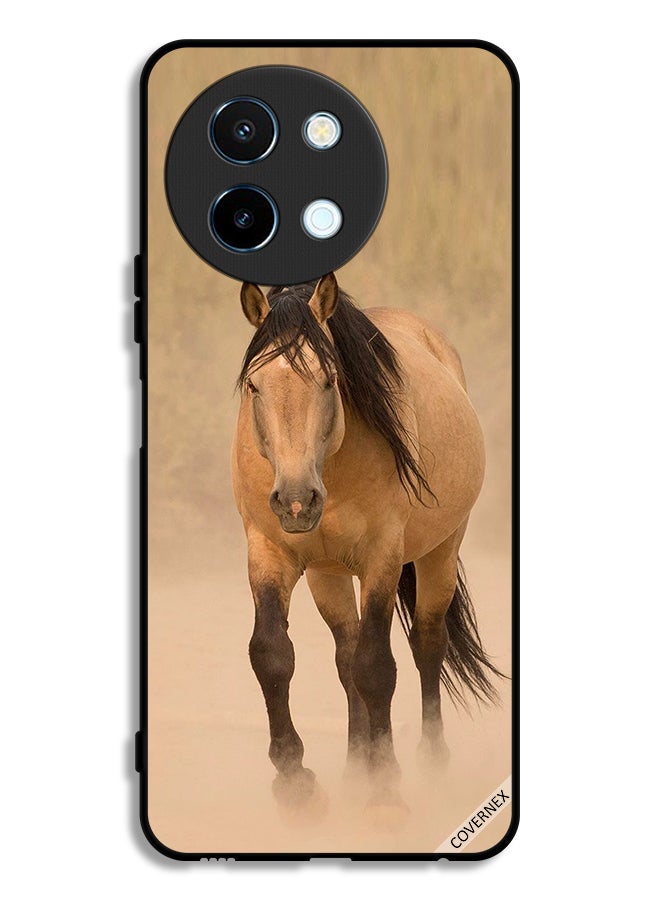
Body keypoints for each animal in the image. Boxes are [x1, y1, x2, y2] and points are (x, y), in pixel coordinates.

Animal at [231, 272, 501, 821]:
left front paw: (386, 786)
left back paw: (430, 762)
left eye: (330, 379)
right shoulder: (269, 553)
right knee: (345, 654)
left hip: (439, 552)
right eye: (254, 384)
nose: (296, 501)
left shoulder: (382, 559)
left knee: (426, 644)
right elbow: (272, 653)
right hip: (327, 573)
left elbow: (377, 667)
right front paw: (295, 781)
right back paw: (356, 767)